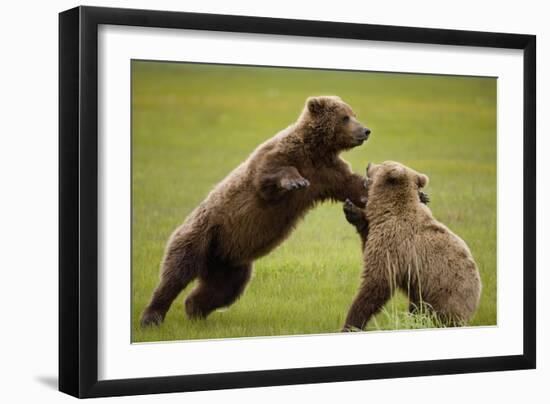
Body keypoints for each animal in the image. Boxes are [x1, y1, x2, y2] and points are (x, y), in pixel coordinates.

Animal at [141, 95, 376, 328]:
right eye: (345, 117)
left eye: (353, 114)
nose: (365, 130)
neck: (316, 150)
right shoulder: (282, 156)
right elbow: (268, 175)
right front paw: (296, 181)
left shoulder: (327, 172)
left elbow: (352, 184)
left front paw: (368, 186)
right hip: (201, 235)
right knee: (176, 273)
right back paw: (152, 316)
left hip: (230, 264)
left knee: (222, 290)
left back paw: (195, 311)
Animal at [344, 159, 484, 330]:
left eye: (383, 163)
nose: (368, 164)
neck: (388, 209)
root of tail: (477, 295)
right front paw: (352, 210)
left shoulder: (395, 244)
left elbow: (377, 282)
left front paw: (351, 323)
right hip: (423, 294)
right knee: (417, 309)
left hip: (446, 294)